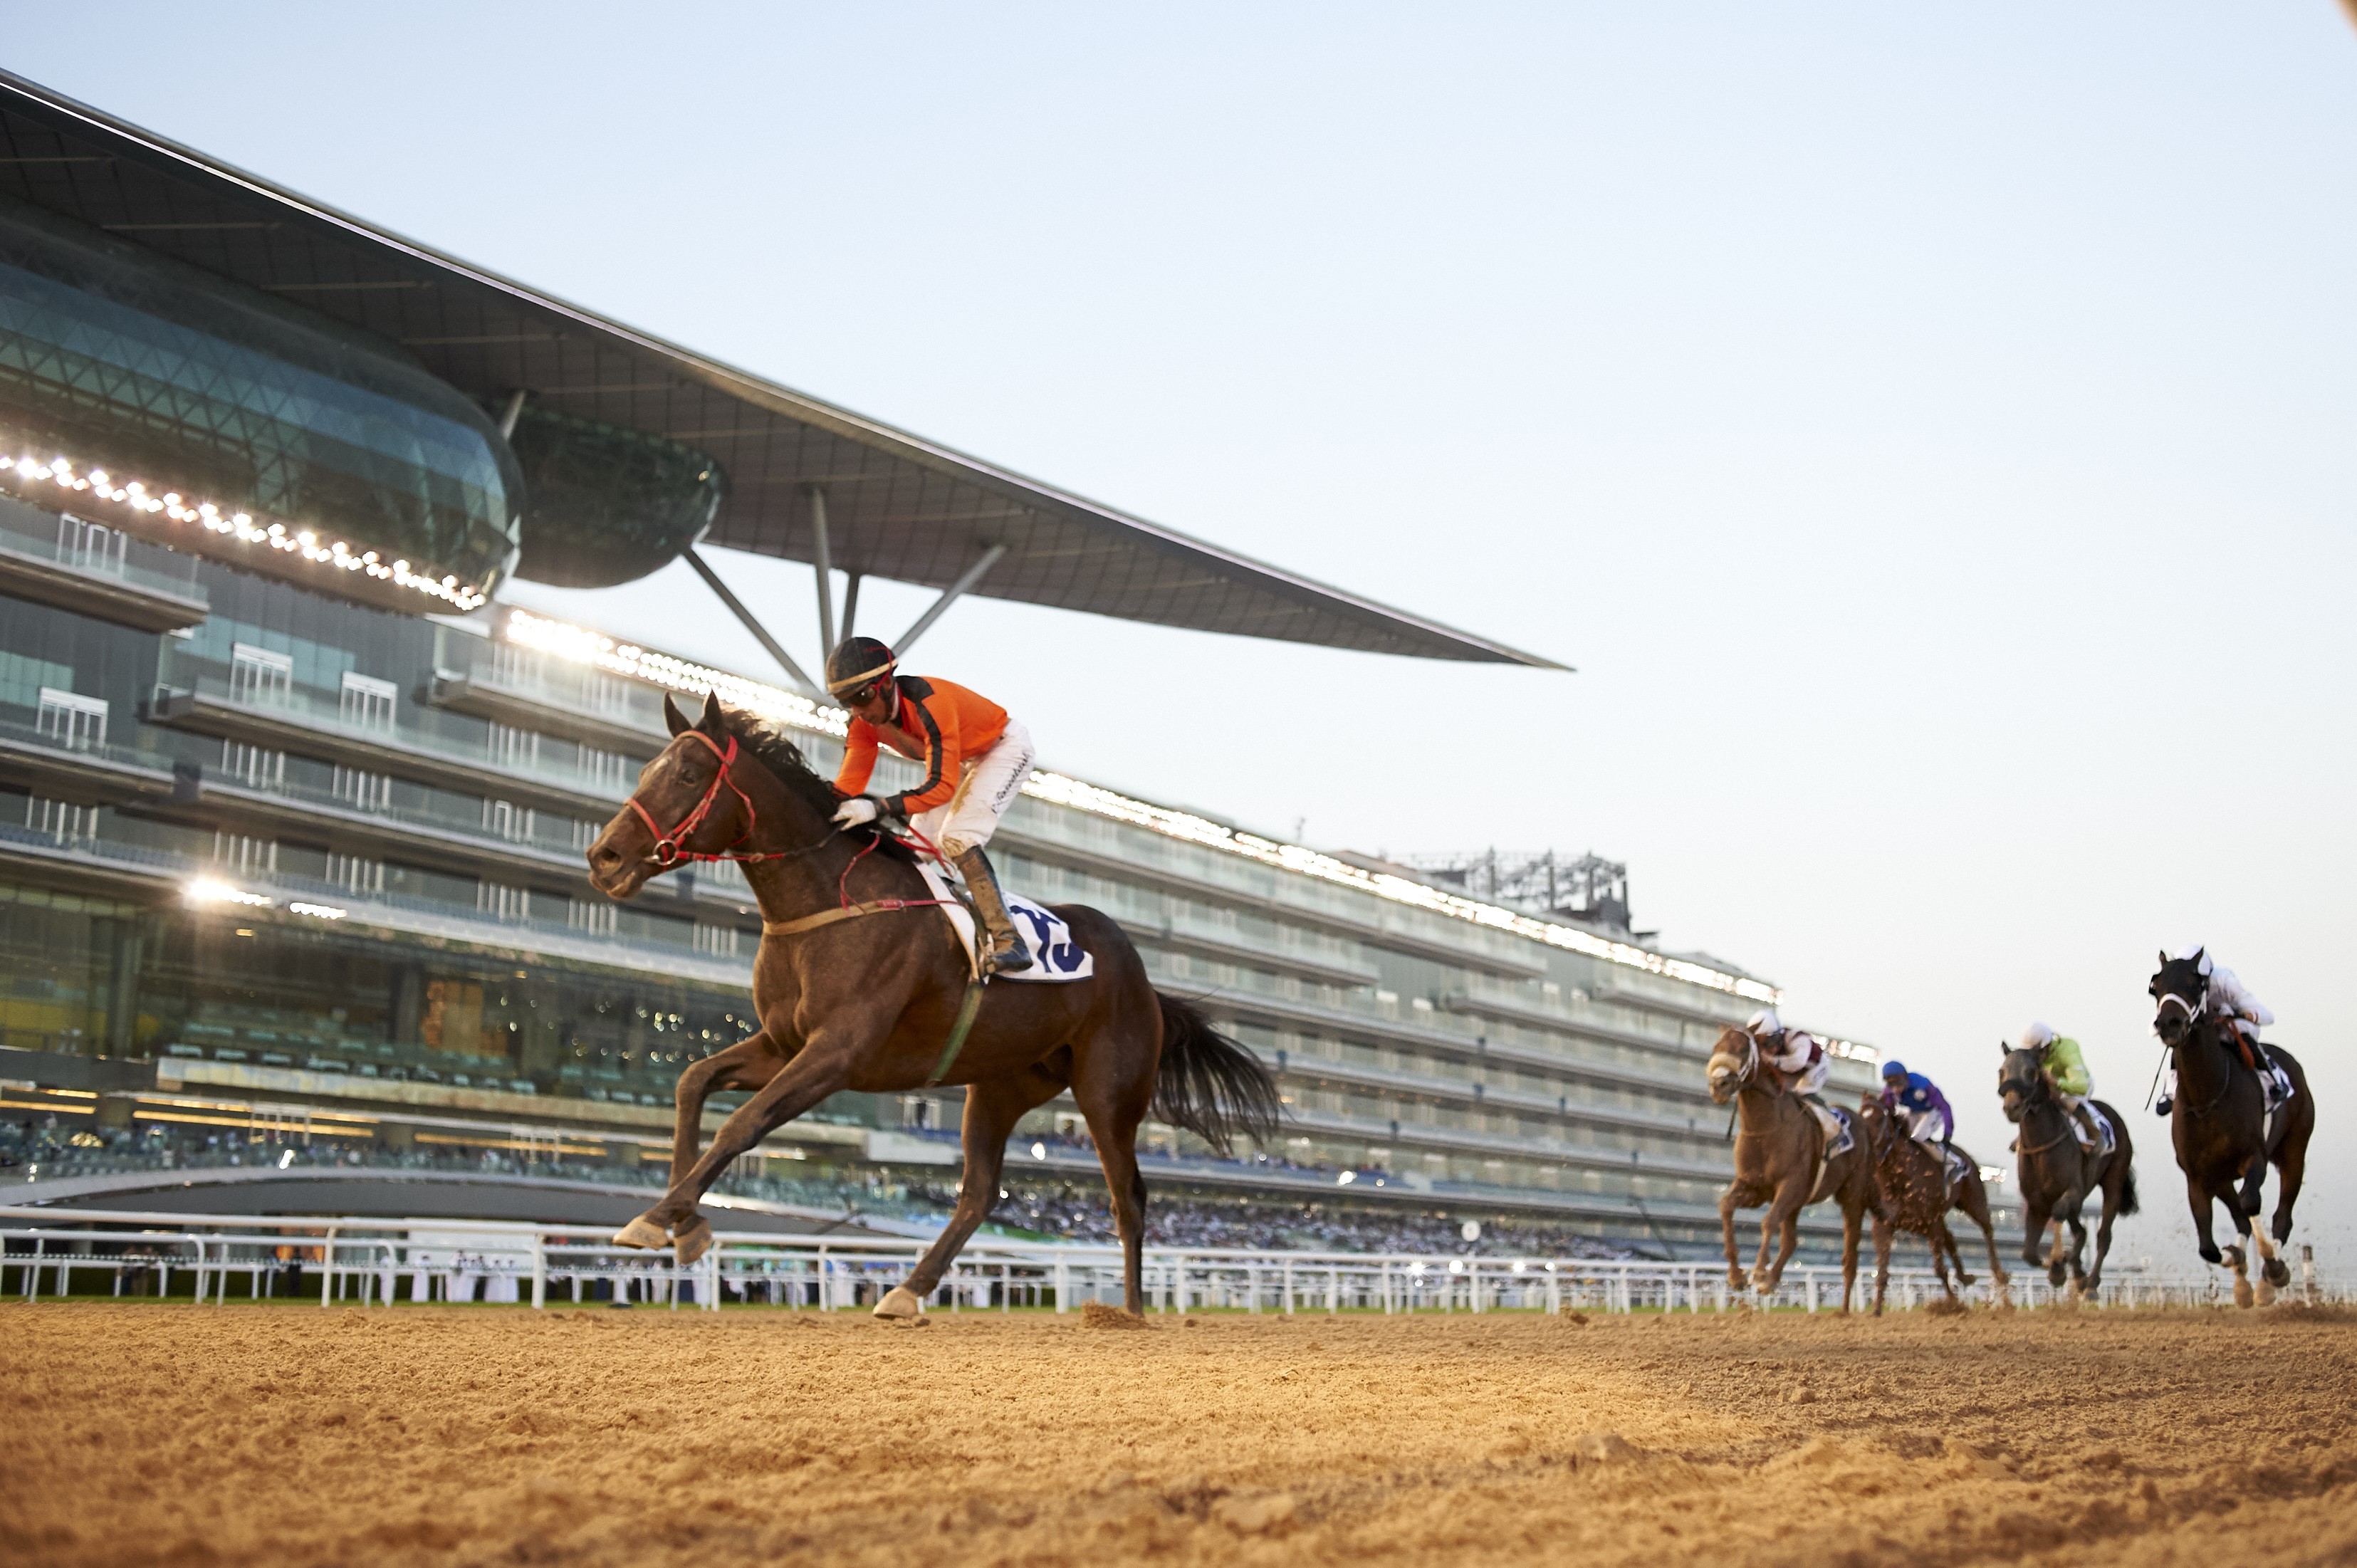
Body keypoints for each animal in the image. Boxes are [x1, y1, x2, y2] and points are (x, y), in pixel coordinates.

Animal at [594, 693, 1291, 1311]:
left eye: (688, 773)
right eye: (647, 770)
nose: (604, 857)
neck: (831, 900)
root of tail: (1145, 981)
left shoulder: (837, 1054)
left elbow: (742, 1123)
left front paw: (657, 1216)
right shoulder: (784, 1045)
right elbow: (692, 1081)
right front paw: (684, 1226)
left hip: (1108, 1093)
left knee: (1129, 1197)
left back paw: (1131, 1311)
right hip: (1001, 1085)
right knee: (980, 1194)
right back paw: (908, 1290)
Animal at [1706, 1028, 1886, 1311]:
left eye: (1744, 1050)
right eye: (1716, 1047)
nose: (1719, 1085)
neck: (1766, 1129)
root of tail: (1863, 1124)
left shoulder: (1789, 1185)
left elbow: (1769, 1222)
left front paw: (1759, 1273)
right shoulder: (1754, 1188)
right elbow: (1726, 1207)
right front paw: (1737, 1276)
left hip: (1852, 1197)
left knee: (1850, 1253)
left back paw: (1844, 1310)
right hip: (1798, 1202)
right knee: (1791, 1241)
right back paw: (1773, 1282)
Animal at [1857, 1089, 2008, 1311]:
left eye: (1879, 1119)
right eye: (1860, 1117)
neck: (1898, 1178)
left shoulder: (1931, 1220)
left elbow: (1939, 1269)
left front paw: (1953, 1304)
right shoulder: (1884, 1225)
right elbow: (1882, 1271)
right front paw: (1876, 1310)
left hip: (1973, 1202)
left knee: (1987, 1230)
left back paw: (2000, 1278)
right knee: (1951, 1238)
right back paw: (1965, 1277)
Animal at [1989, 1047, 2140, 1292]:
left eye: (2032, 1071)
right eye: (2002, 1071)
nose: (2012, 1108)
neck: (2042, 1146)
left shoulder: (2072, 1191)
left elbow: (2059, 1215)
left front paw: (2058, 1267)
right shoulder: (2036, 1202)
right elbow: (2029, 1253)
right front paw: (2061, 1265)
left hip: (2113, 1181)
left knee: (2103, 1235)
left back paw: (2091, 1284)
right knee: (2081, 1231)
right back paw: (2078, 1273)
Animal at [2149, 952, 2309, 1311]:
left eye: (2196, 984)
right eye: (2156, 986)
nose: (2169, 1024)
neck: (2207, 1097)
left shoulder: (2255, 1158)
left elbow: (2251, 1204)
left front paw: (2270, 1270)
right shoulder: (2199, 1176)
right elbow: (2210, 1247)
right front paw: (2238, 1269)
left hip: (2294, 1153)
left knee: (2282, 1216)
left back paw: (2268, 1279)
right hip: (2222, 1177)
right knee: (2240, 1216)